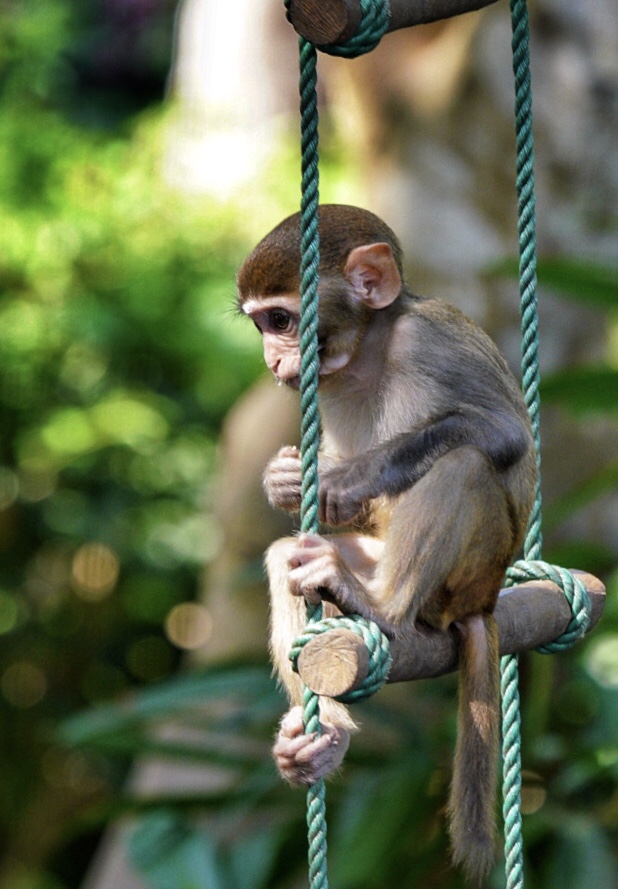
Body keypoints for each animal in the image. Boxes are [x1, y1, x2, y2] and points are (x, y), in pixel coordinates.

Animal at [236, 205, 536, 876]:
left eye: (280, 320)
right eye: (261, 324)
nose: (270, 360)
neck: (367, 350)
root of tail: (483, 601)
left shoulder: (431, 339)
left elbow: (505, 433)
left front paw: (344, 478)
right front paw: (283, 480)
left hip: (470, 573)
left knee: (464, 464)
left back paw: (380, 607)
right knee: (289, 557)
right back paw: (324, 737)